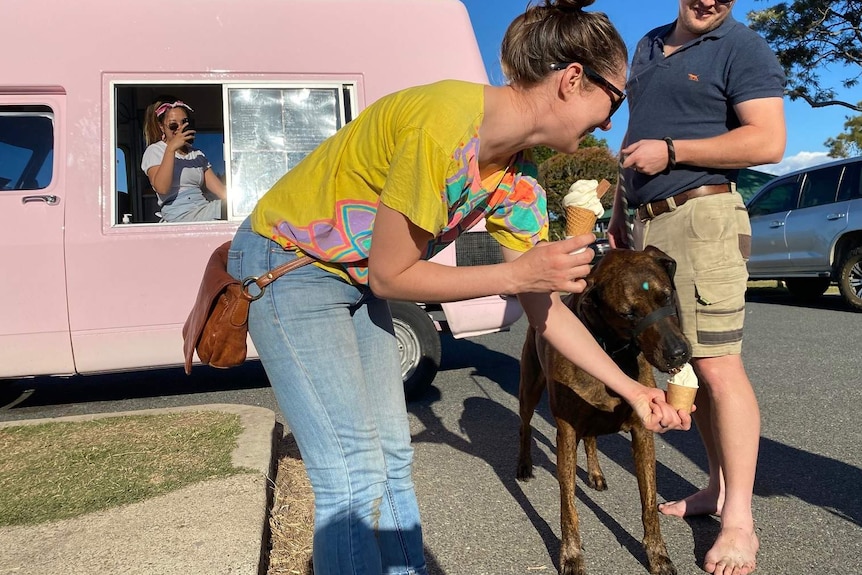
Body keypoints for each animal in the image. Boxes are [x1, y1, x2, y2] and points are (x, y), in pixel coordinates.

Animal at [516, 248, 692, 575]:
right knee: (525, 425)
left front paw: (658, 554)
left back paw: (596, 473)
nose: (679, 353)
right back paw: (524, 464)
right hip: (529, 388)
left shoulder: (642, 431)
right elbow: (568, 505)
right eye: (628, 314)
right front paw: (571, 555)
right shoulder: (566, 432)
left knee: (592, 439)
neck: (608, 351)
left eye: (666, 297)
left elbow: (649, 503)